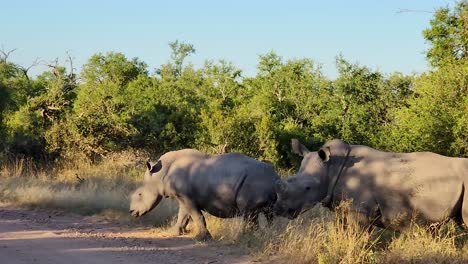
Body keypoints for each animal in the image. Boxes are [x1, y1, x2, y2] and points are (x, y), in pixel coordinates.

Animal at [130, 148, 280, 239]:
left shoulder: (186, 197)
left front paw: (203, 238)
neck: (160, 174)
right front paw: (173, 232)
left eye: (139, 195)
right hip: (263, 184)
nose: (131, 212)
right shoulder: (184, 196)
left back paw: (244, 237)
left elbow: (196, 216)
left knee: (248, 213)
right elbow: (183, 215)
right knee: (268, 214)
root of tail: (275, 177)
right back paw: (267, 235)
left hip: (254, 181)